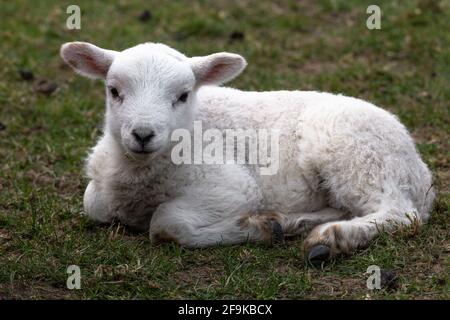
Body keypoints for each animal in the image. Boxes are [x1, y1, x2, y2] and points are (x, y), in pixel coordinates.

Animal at [58, 40, 434, 264]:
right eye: (113, 91)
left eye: (183, 95)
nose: (142, 134)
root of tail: (421, 173)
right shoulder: (102, 189)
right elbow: (93, 204)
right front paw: (268, 225)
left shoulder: (232, 187)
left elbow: (167, 223)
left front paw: (255, 228)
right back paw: (294, 222)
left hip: (358, 156)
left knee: (401, 214)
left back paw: (334, 237)